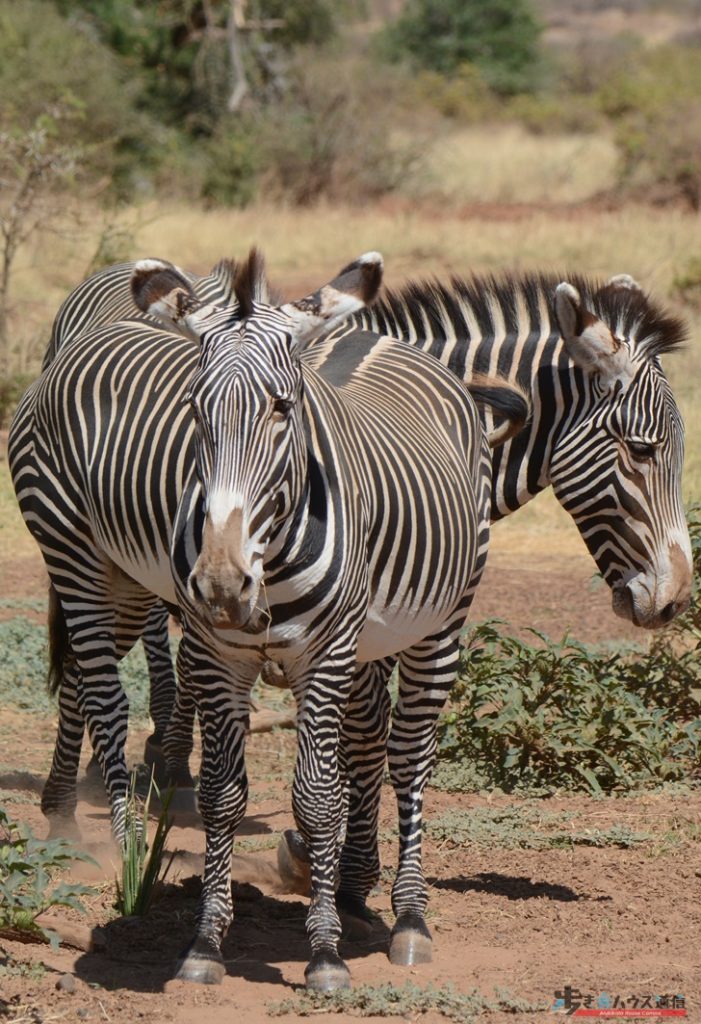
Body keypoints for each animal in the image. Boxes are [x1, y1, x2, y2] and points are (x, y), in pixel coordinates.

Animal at [10, 249, 528, 991]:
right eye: (193, 409)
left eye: (284, 408)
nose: (223, 582)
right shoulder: (218, 654)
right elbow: (224, 795)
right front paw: (205, 944)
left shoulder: (328, 656)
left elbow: (316, 796)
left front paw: (324, 952)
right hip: (81, 555)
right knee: (102, 691)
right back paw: (113, 844)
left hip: (438, 625)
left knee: (408, 754)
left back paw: (408, 918)